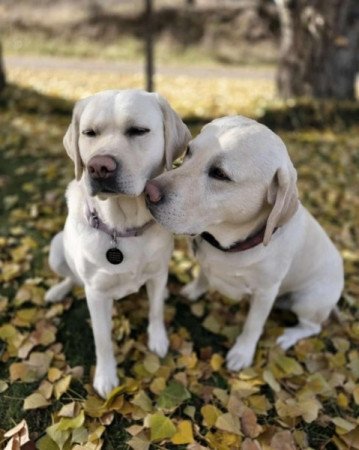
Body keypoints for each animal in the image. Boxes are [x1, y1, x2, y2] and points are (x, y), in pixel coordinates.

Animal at [45, 89, 191, 398]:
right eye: (89, 133)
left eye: (138, 131)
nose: (99, 167)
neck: (122, 227)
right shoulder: (97, 294)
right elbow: (102, 340)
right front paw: (105, 375)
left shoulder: (157, 272)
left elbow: (155, 311)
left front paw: (158, 339)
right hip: (56, 248)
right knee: (70, 277)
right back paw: (58, 291)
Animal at [146, 117, 344, 372]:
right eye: (189, 151)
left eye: (220, 173)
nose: (148, 192)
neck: (228, 244)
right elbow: (203, 274)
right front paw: (194, 289)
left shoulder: (265, 293)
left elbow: (253, 325)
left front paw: (242, 352)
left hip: (308, 301)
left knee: (312, 326)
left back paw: (288, 336)